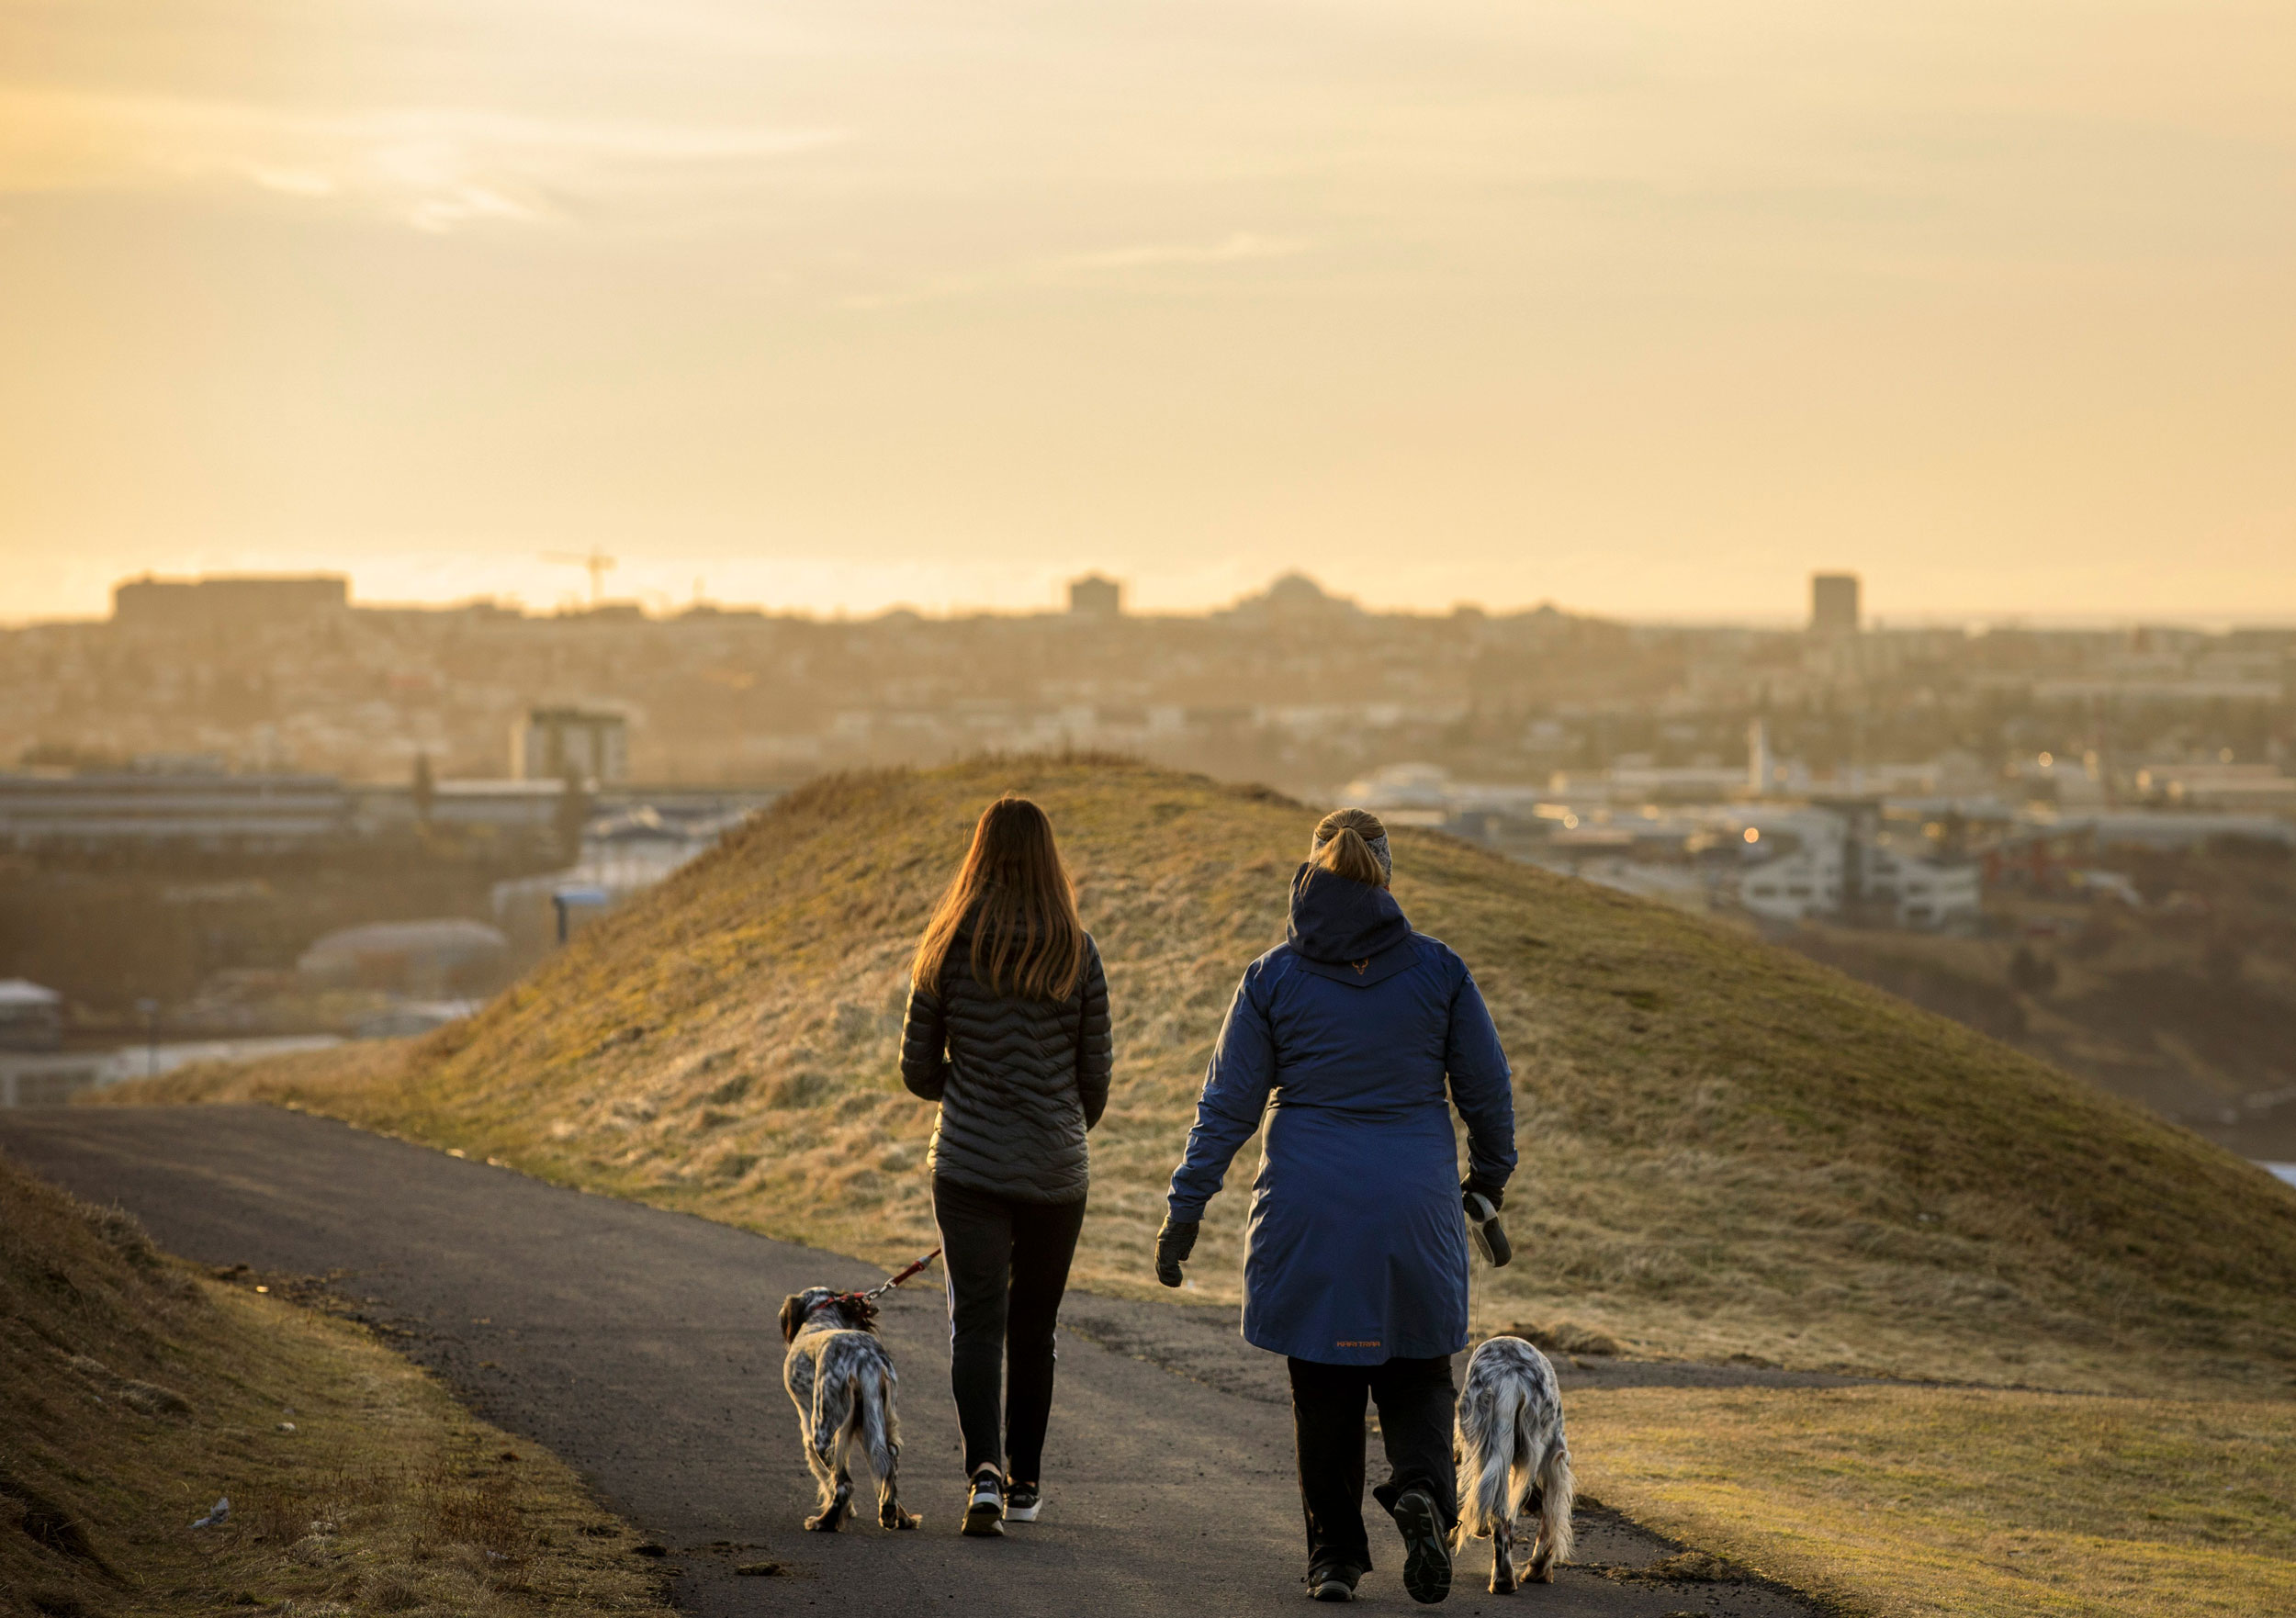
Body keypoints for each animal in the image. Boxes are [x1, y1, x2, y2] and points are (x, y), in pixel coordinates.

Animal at [771, 1285, 914, 1523]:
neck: (820, 1317)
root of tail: (865, 1359)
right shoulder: (862, 1425)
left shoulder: (809, 1430)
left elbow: (826, 1477)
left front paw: (846, 1510)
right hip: (881, 1419)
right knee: (888, 1466)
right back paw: (894, 1514)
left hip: (822, 1431)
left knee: (845, 1483)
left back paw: (823, 1522)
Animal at [1451, 1340, 1580, 1588]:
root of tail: (1509, 1376)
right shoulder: (1556, 1457)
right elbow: (1551, 1517)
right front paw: (1539, 1568)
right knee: (1505, 1518)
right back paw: (1510, 1576)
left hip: (1484, 1449)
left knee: (1496, 1514)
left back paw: (1501, 1577)